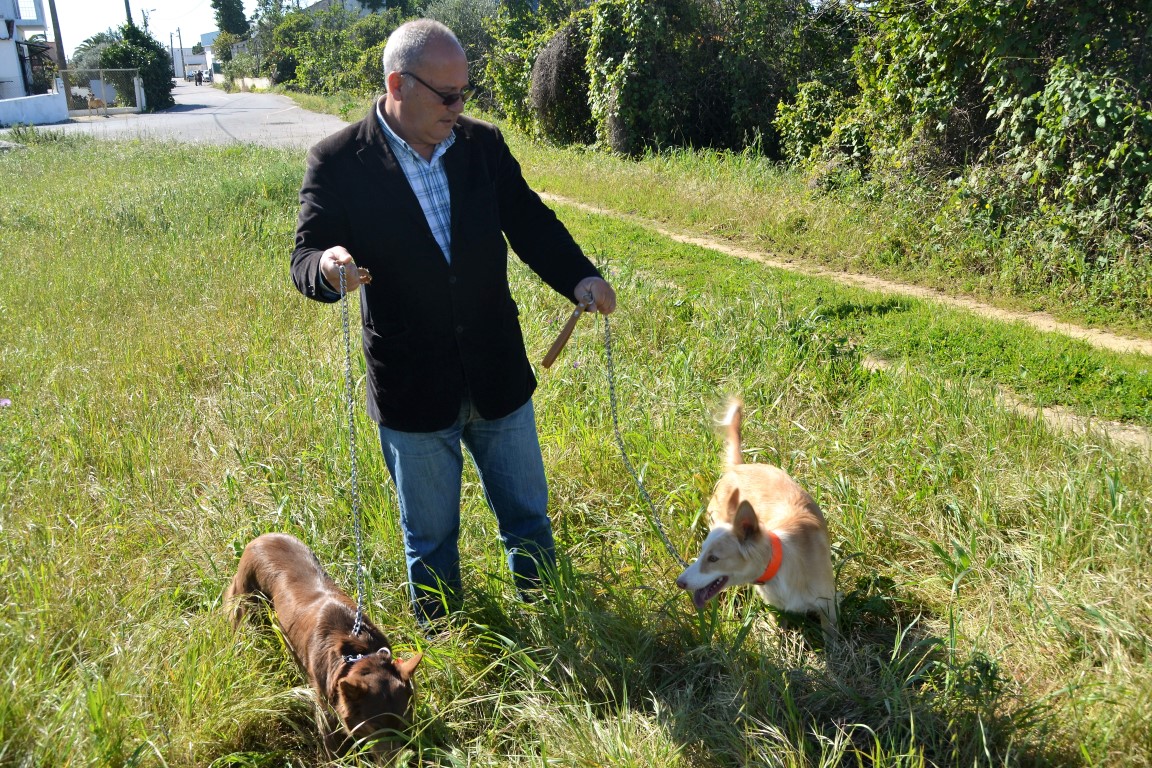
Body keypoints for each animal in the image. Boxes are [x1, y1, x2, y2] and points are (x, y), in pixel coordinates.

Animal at [224, 531, 423, 755]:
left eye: (403, 725)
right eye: (375, 727)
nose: (397, 760)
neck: (357, 651)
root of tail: (261, 537)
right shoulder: (326, 709)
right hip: (247, 605)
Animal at [672, 402, 838, 644]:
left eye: (713, 559)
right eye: (702, 553)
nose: (680, 583)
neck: (781, 562)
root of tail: (738, 467)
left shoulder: (828, 605)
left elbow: (832, 640)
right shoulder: (776, 607)